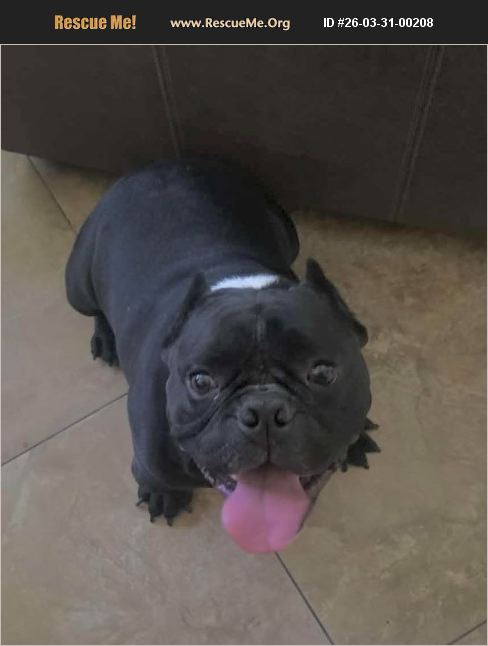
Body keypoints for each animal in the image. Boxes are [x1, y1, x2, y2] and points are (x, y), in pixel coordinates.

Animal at [65, 159, 379, 553]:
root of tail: (156, 166)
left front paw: (358, 437)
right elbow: (155, 473)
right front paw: (164, 493)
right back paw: (105, 338)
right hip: (76, 285)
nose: (264, 410)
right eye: (201, 381)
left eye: (322, 373)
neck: (244, 284)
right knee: (92, 306)